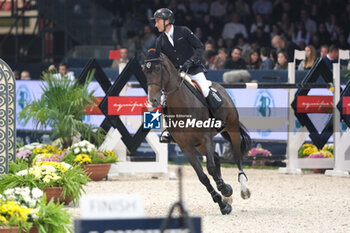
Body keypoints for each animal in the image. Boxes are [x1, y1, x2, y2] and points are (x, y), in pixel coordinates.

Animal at [142, 51, 252, 215]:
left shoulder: (205, 138)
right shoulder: (186, 147)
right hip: (199, 145)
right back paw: (227, 195)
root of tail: (220, 86)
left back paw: (243, 188)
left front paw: (225, 191)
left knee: (237, 157)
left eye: (158, 69)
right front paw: (223, 203)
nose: (153, 101)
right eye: (145, 71)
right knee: (217, 157)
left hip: (232, 129)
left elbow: (211, 169)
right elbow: (202, 176)